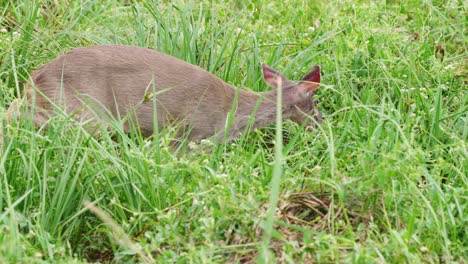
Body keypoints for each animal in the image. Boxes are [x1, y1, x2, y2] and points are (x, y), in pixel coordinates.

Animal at [1, 44, 322, 144]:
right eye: (315, 106)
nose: (322, 123)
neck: (235, 114)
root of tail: (35, 77)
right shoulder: (191, 133)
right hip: (80, 112)